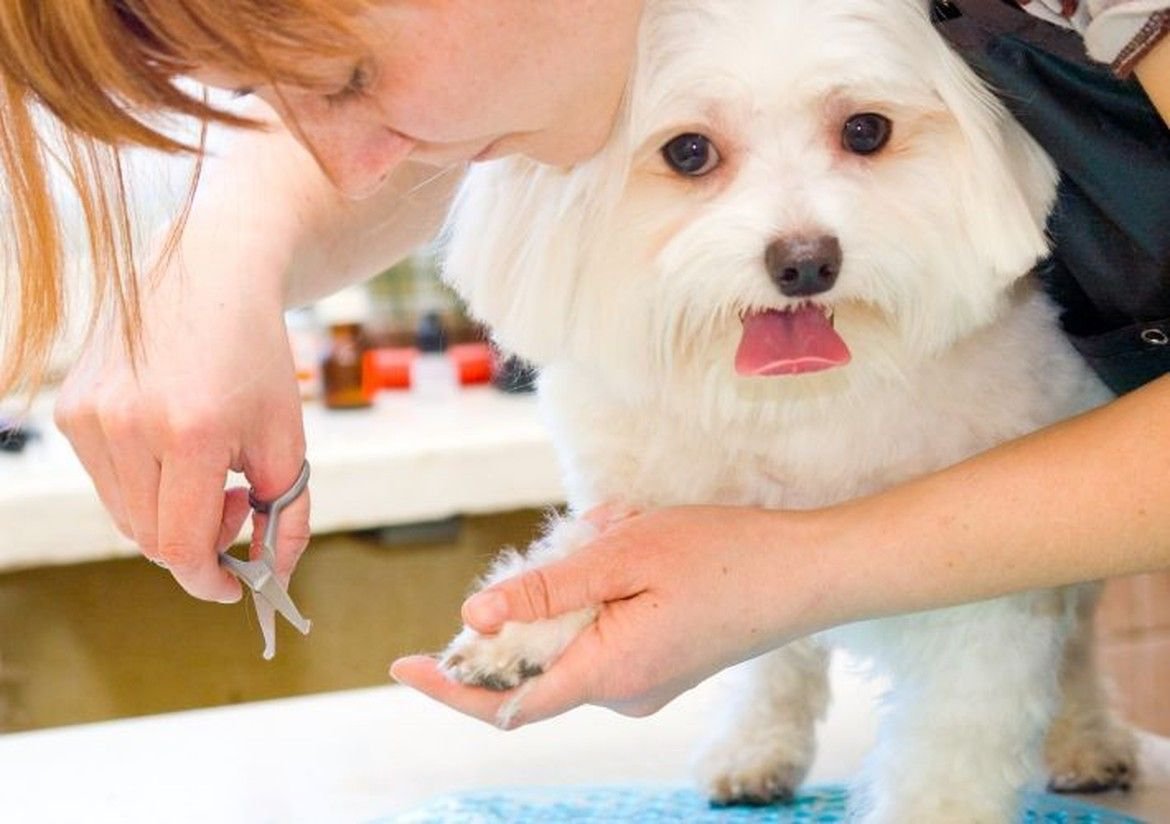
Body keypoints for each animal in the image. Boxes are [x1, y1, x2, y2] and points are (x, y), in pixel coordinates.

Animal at [435, 3, 1127, 819]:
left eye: (865, 130)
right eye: (689, 152)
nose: (804, 262)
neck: (799, 405)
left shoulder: (988, 595)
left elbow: (950, 754)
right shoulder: (648, 493)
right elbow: (594, 558)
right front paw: (522, 631)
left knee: (1074, 647)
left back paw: (1086, 740)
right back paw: (756, 750)